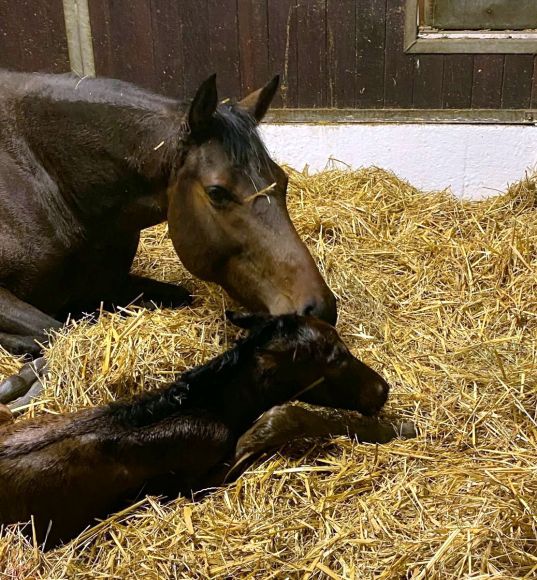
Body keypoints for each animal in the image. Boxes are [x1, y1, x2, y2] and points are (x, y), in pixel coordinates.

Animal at [0, 310, 412, 548]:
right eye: (337, 356)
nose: (382, 389)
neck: (211, 403)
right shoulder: (196, 482)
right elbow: (282, 417)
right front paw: (397, 428)